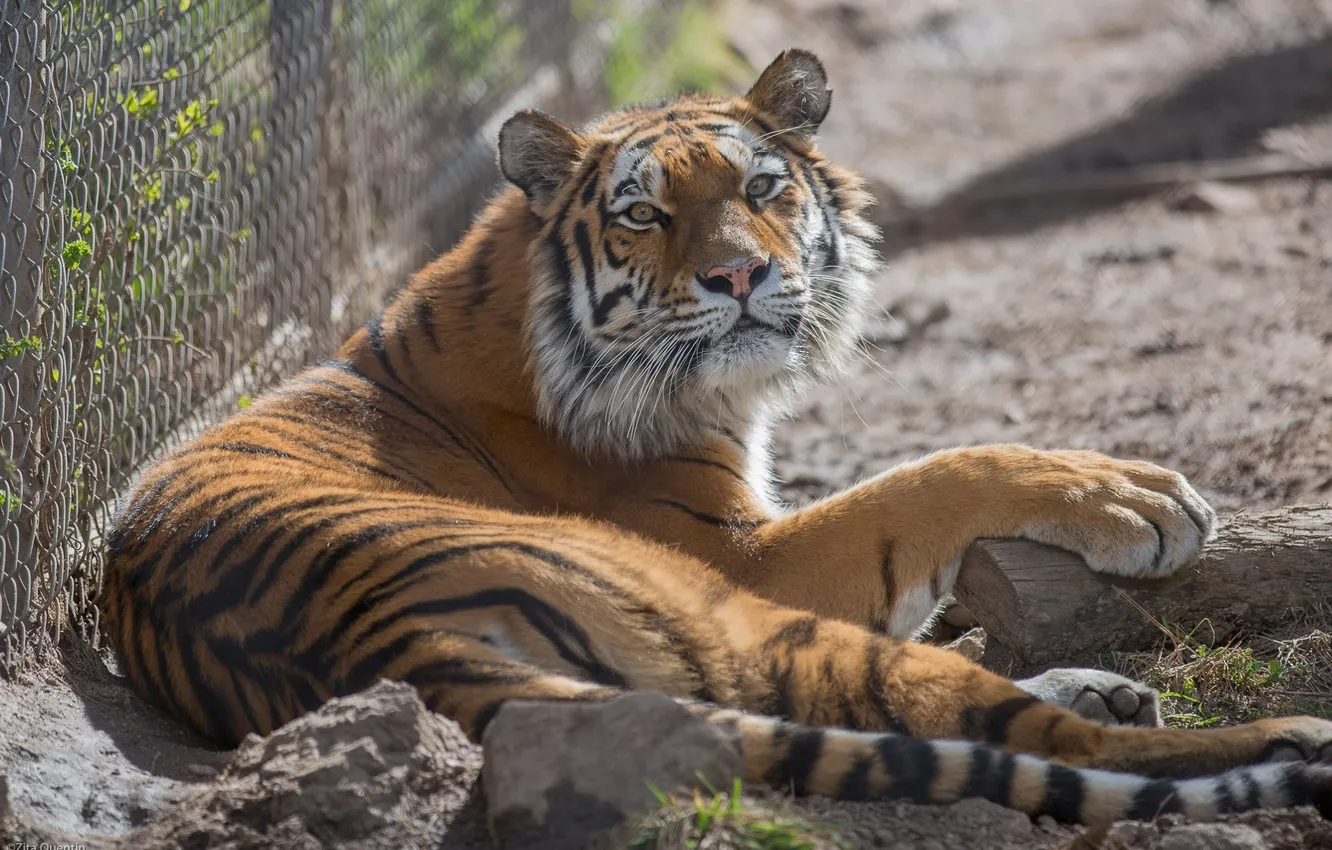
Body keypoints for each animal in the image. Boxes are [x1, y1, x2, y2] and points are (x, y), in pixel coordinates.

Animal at [101, 49, 1332, 827]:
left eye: (763, 186)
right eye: (643, 213)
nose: (738, 276)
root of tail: (384, 641)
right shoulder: (745, 552)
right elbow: (931, 475)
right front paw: (1137, 496)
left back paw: (1102, 687)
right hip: (721, 612)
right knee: (1051, 746)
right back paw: (1286, 735)